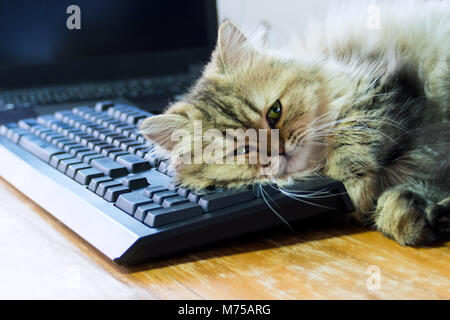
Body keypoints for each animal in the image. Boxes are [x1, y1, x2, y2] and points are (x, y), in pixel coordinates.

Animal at [139, 1, 448, 246]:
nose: (279, 149)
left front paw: (356, 187)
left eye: (274, 112)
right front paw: (411, 218)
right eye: (242, 151)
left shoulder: (381, 87)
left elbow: (352, 132)